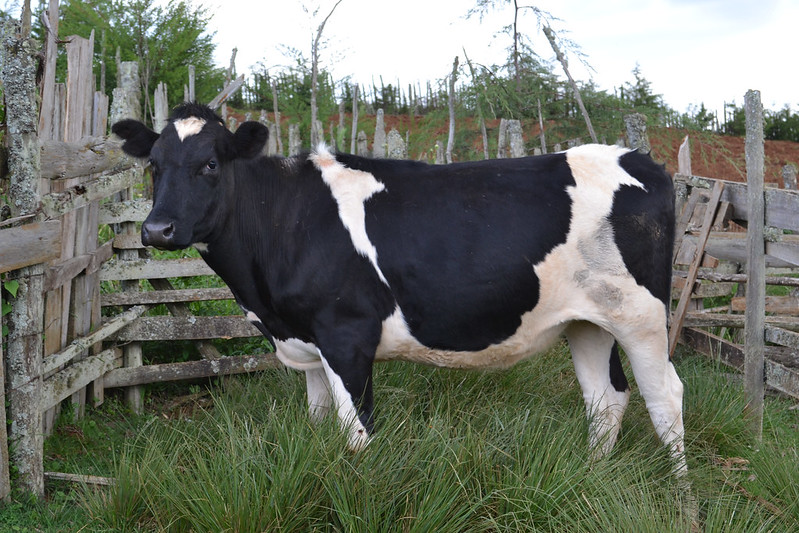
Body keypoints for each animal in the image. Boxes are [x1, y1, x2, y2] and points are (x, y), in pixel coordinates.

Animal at [114, 102, 688, 472]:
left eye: (211, 163)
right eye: (154, 167)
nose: (157, 230)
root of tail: (639, 158)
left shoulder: (346, 337)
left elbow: (357, 437)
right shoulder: (307, 343)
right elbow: (319, 426)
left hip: (641, 316)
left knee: (666, 398)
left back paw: (681, 499)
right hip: (588, 321)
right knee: (606, 398)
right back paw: (593, 476)